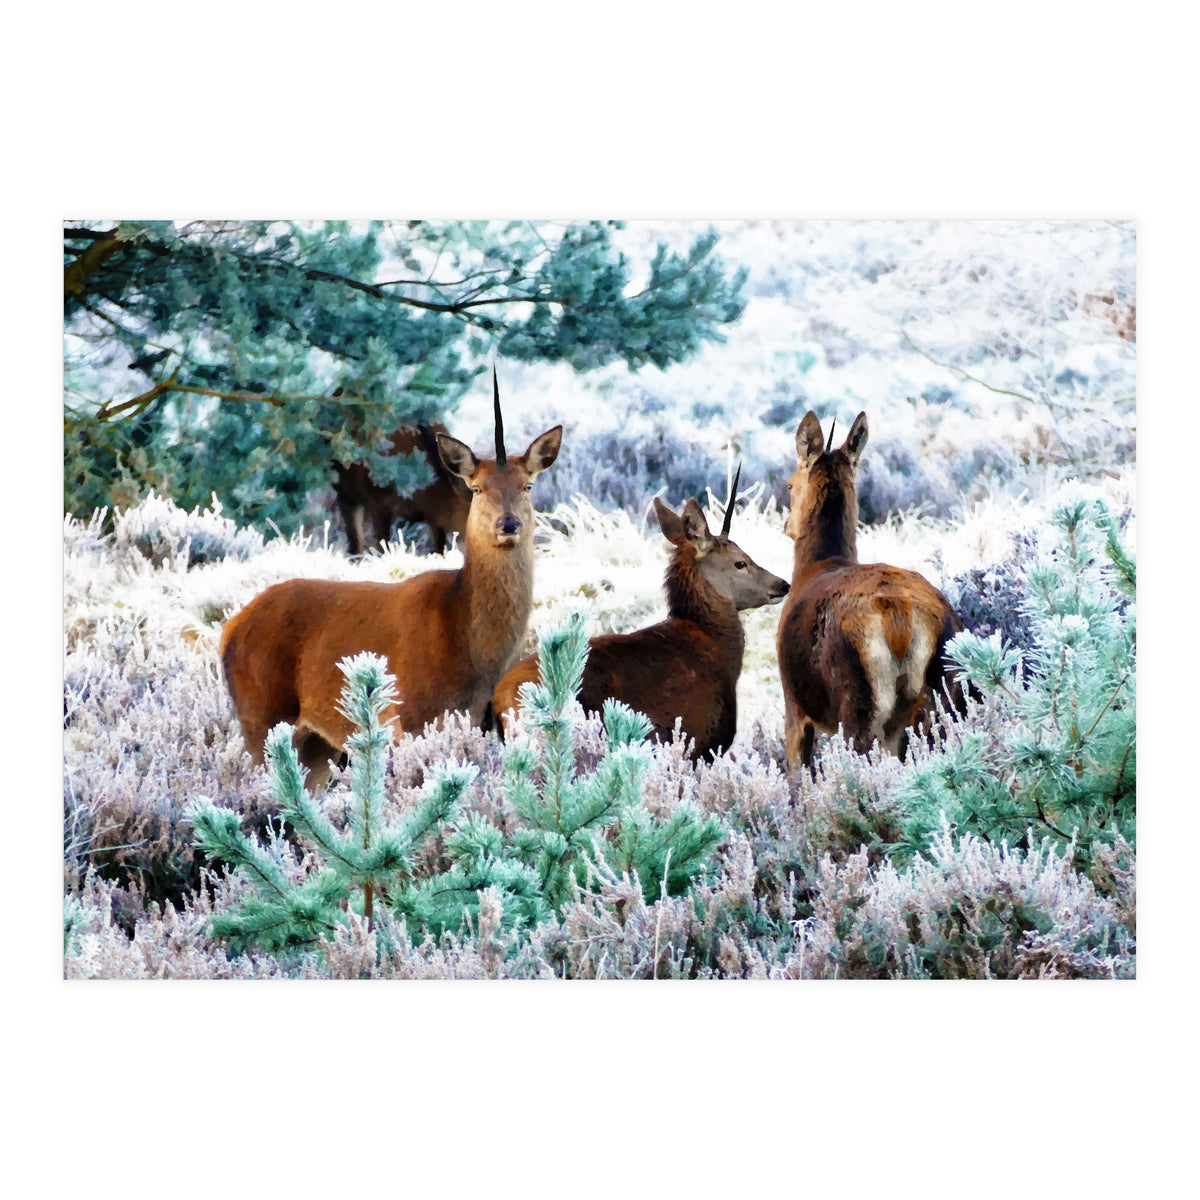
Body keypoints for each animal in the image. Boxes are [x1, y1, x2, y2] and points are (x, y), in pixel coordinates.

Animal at [333, 422, 472, 556]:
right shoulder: (377, 504)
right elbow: (383, 548)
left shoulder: (433, 518)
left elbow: (439, 550)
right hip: (346, 493)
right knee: (355, 540)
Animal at [776, 410, 965, 770]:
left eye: (790, 484)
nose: (786, 526)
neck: (814, 566)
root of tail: (900, 618)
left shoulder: (794, 705)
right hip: (948, 690)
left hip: (858, 700)